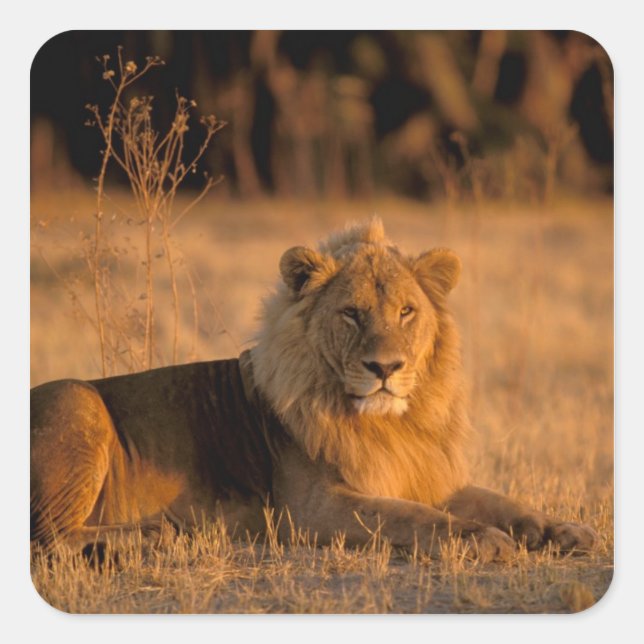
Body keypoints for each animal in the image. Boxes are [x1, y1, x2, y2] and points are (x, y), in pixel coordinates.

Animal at [31, 218, 597, 561]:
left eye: (406, 312)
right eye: (351, 313)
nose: (385, 367)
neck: (391, 424)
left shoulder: (422, 473)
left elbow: (502, 501)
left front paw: (563, 531)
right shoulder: (310, 509)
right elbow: (413, 517)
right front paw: (481, 539)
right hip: (76, 400)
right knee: (47, 537)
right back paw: (152, 537)